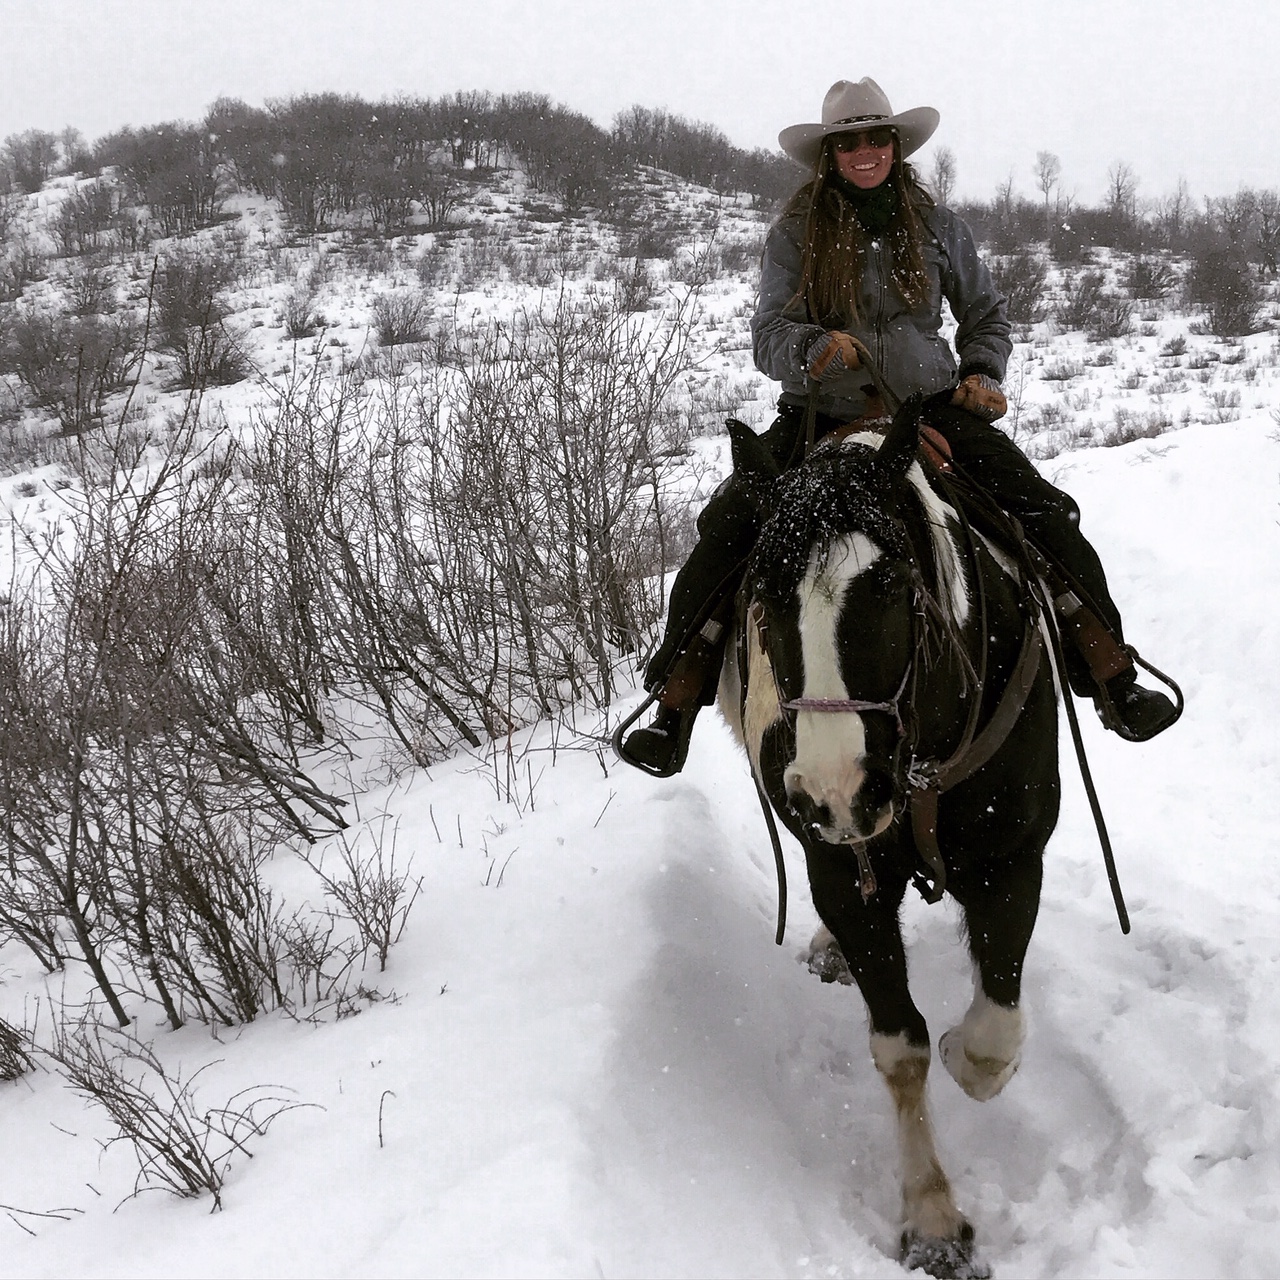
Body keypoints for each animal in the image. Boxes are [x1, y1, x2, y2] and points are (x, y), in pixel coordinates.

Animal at [717, 394, 1061, 1280]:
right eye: (761, 596)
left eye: (892, 583)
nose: (836, 789)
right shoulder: (845, 874)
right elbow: (900, 1047)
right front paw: (933, 1219)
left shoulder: (1013, 855)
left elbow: (993, 1034)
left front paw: (968, 1055)